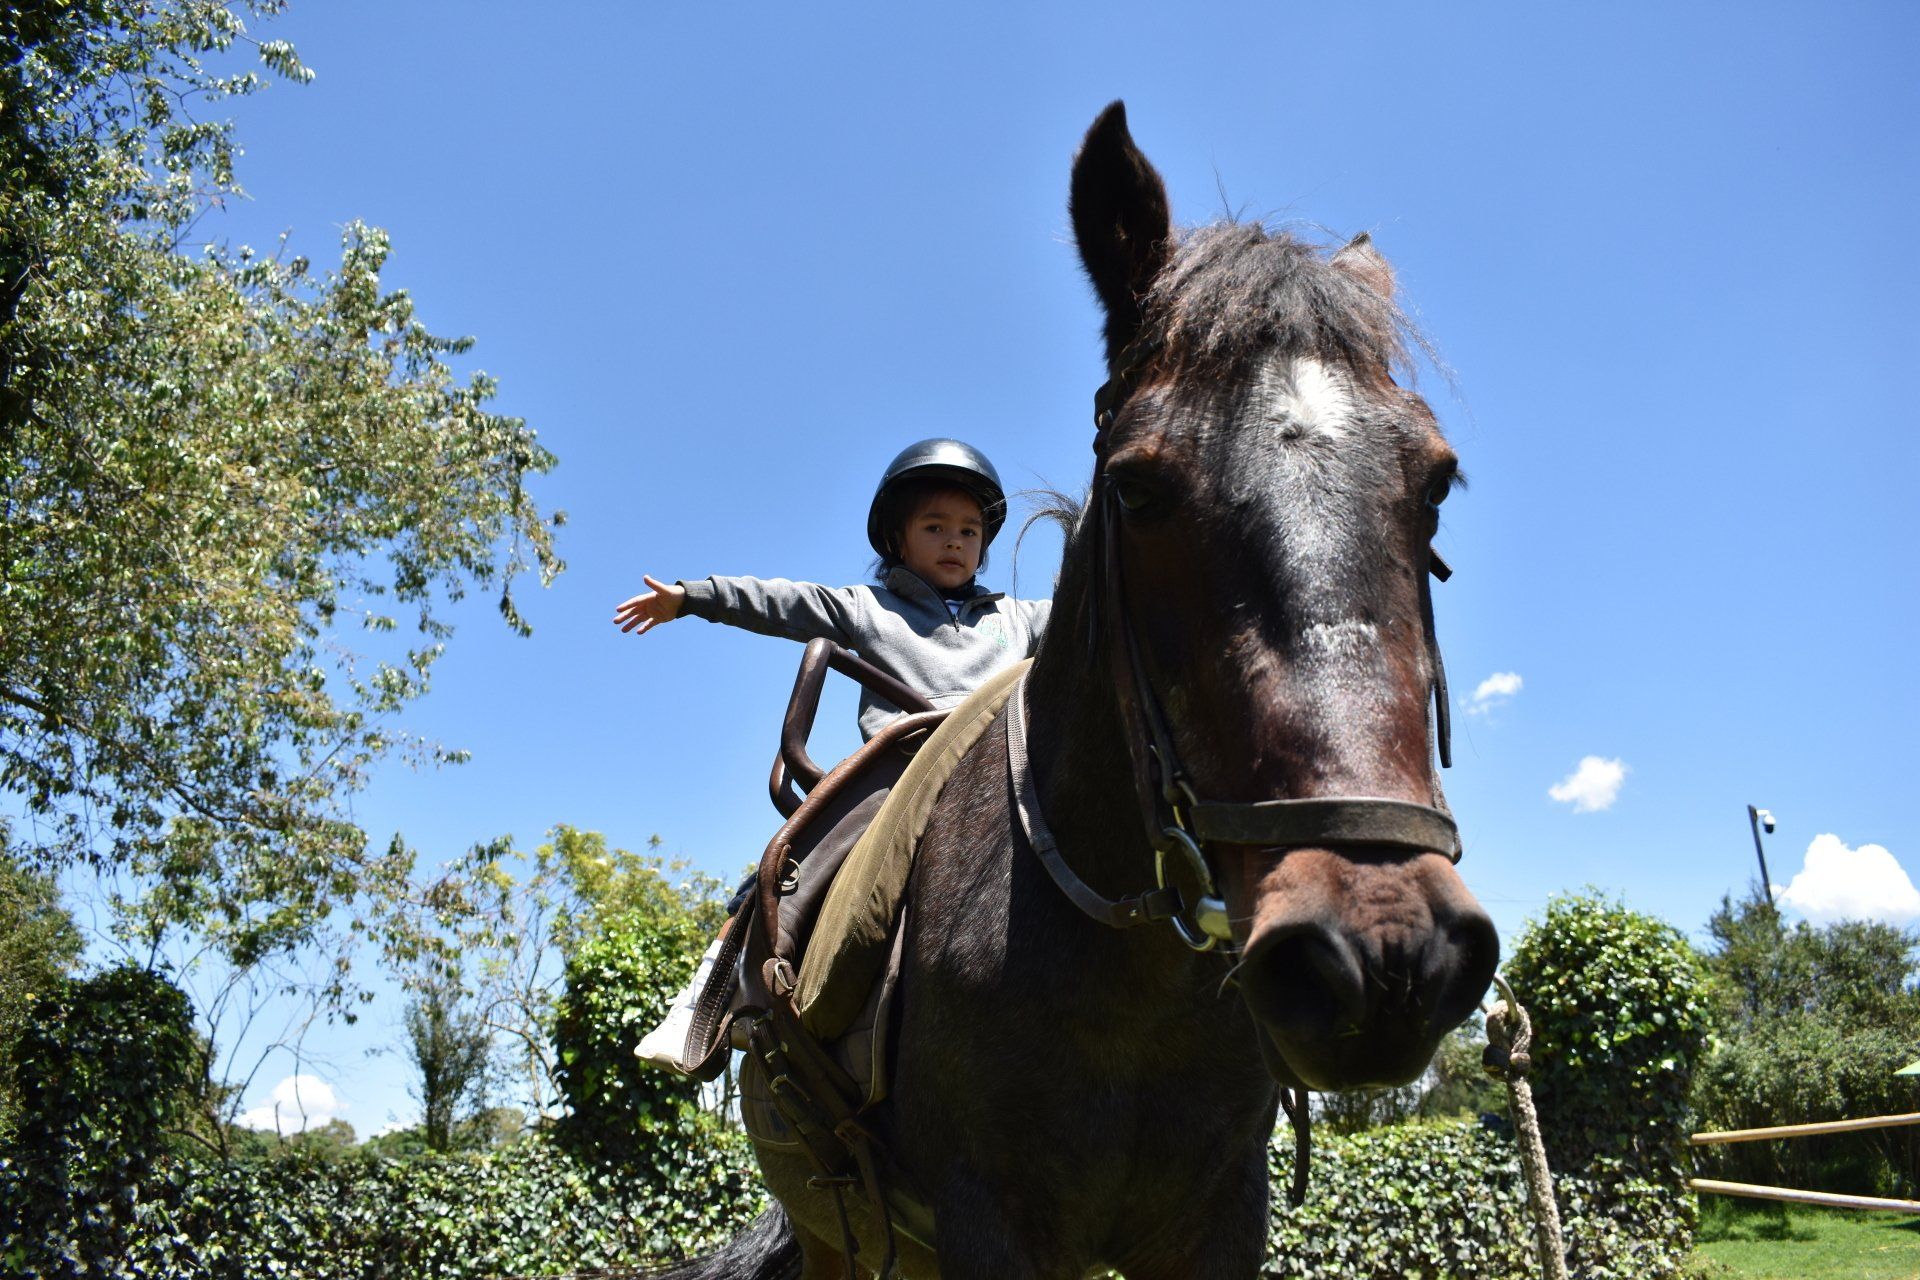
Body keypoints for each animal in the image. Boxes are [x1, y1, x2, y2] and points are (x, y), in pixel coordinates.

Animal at [661, 100, 1499, 1280]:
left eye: (1435, 481)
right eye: (1138, 488)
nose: (1384, 947)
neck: (1130, 972)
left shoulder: (1218, 1218)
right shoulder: (989, 1227)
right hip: (835, 1227)